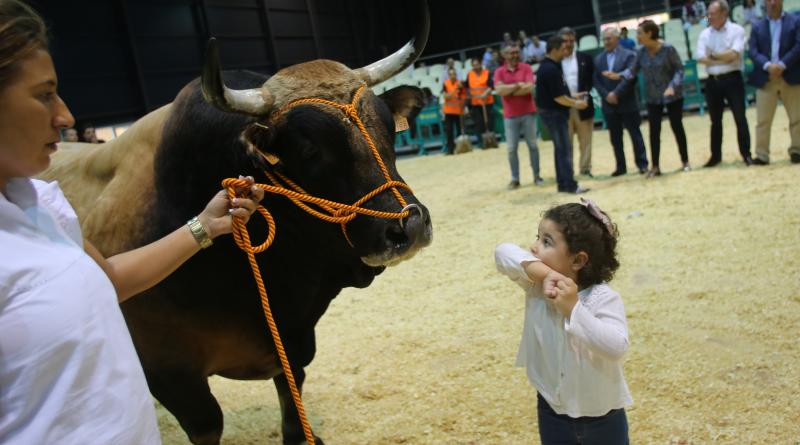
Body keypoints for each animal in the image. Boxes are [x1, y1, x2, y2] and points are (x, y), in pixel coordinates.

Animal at [39, 1, 432, 442]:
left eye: (388, 129)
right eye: (309, 149)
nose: (409, 225)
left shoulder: (291, 344)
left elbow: (294, 405)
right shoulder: (168, 372)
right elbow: (208, 423)